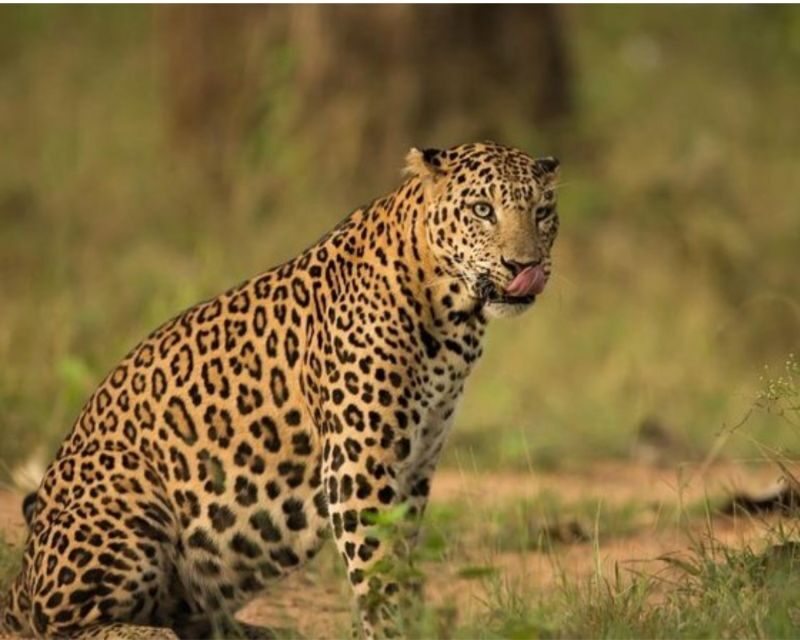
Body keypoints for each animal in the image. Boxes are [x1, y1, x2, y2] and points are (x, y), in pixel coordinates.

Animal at [0, 141, 560, 639]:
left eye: (542, 213)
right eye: (483, 211)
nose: (524, 266)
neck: (453, 317)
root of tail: (21, 579)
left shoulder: (417, 464)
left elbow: (401, 560)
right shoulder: (359, 463)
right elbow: (377, 569)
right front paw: (394, 630)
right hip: (128, 496)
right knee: (58, 624)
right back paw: (149, 635)